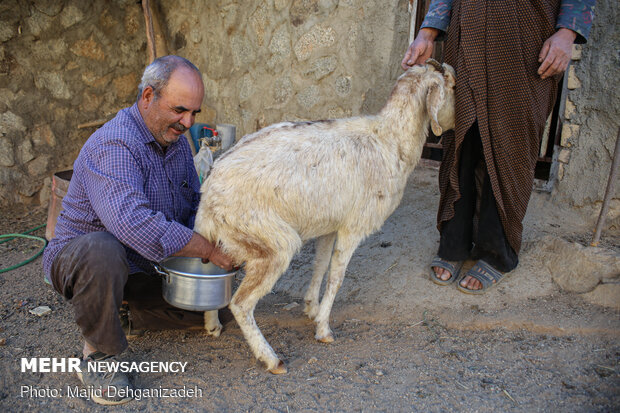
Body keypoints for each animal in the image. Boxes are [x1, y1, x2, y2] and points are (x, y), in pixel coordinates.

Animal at [196, 59, 458, 372]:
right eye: (454, 86)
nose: (458, 123)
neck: (388, 141)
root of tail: (210, 189)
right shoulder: (353, 227)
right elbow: (336, 276)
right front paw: (323, 328)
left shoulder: (331, 225)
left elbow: (320, 266)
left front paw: (311, 307)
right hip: (269, 240)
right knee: (241, 302)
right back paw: (270, 357)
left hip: (228, 237)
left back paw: (212, 324)